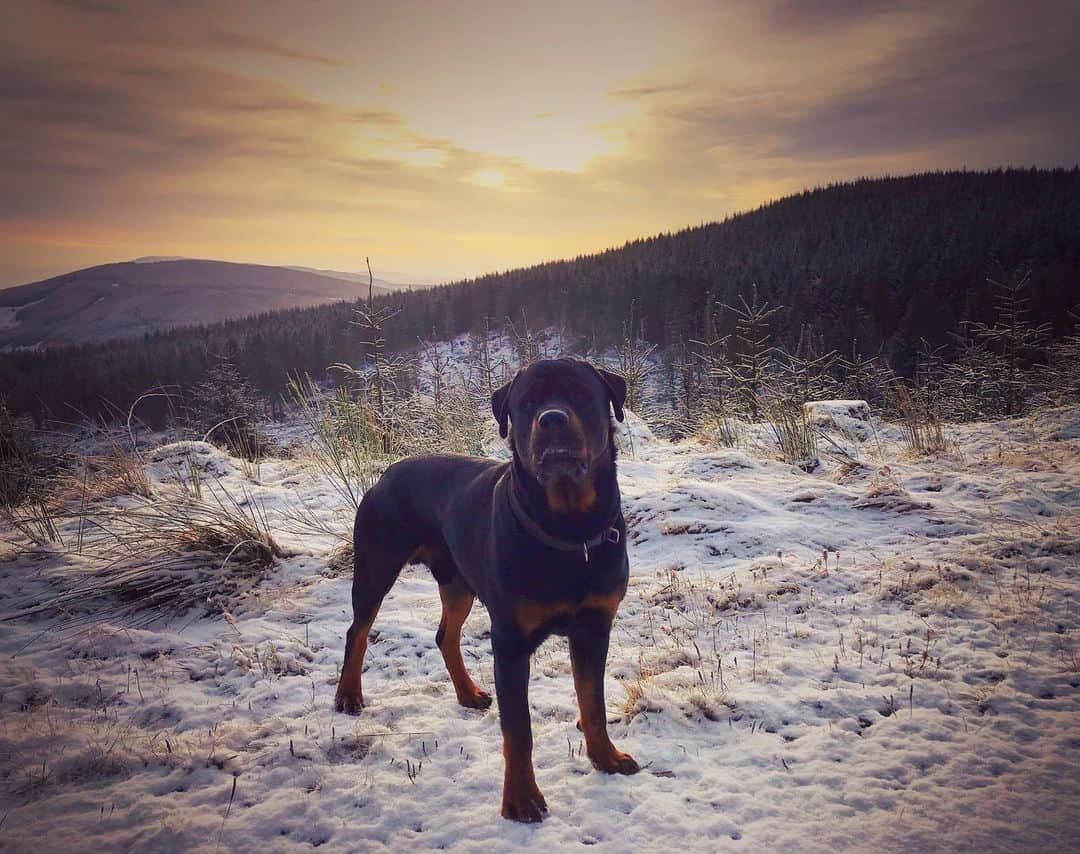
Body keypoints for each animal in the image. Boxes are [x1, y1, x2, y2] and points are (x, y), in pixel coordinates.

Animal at [332, 356, 635, 820]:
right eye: (527, 401)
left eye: (581, 393)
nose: (551, 419)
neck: (569, 527)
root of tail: (387, 473)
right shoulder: (510, 642)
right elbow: (518, 729)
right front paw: (522, 798)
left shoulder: (594, 627)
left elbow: (593, 702)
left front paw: (606, 757)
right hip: (375, 564)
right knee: (358, 631)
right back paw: (348, 695)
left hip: (458, 581)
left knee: (445, 635)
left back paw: (468, 693)